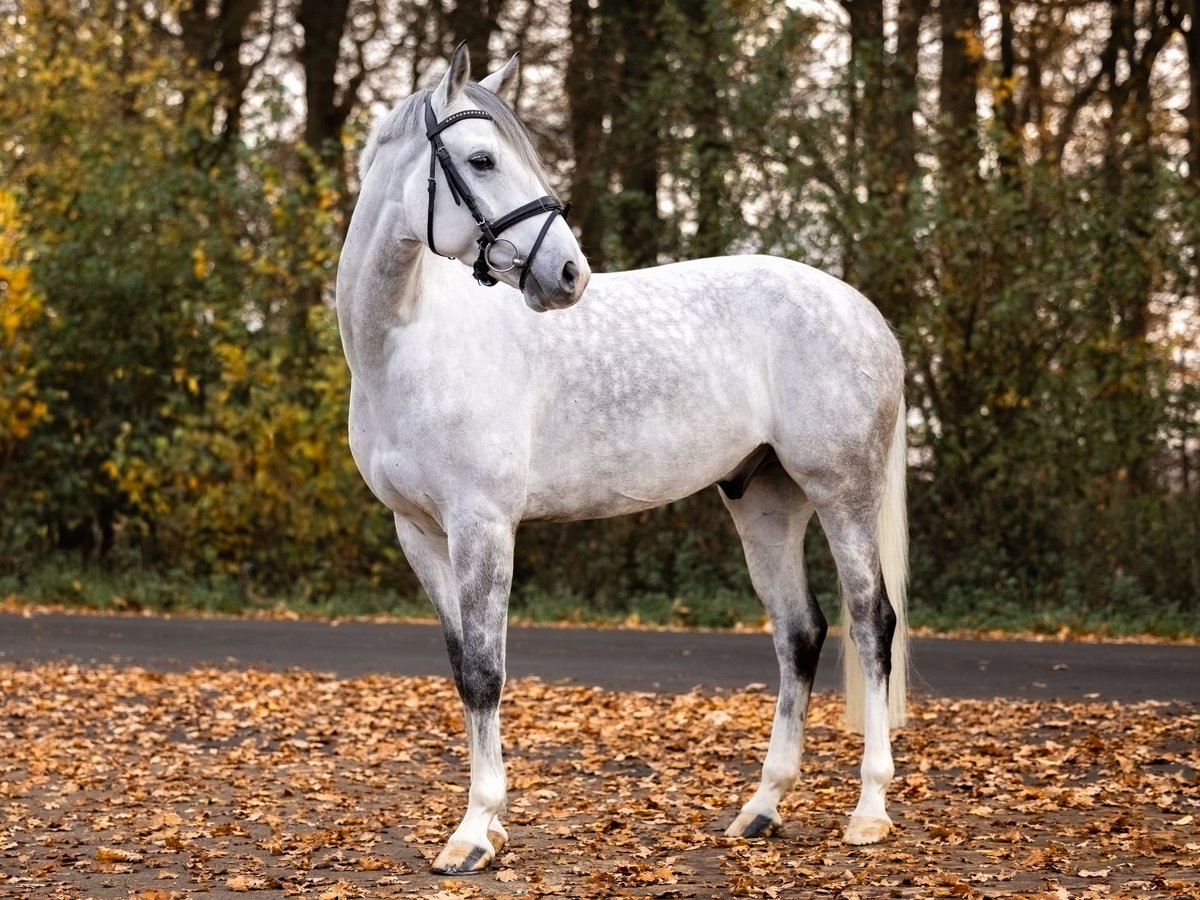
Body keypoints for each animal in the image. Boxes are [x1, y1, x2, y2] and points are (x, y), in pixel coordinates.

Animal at [335, 43, 909, 876]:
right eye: (481, 159)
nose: (568, 275)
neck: (409, 344)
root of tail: (864, 313)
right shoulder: (418, 532)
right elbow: (462, 669)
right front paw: (486, 826)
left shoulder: (483, 525)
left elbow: (487, 671)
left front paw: (475, 832)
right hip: (766, 501)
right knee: (799, 634)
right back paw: (762, 808)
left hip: (844, 492)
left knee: (871, 623)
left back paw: (869, 811)